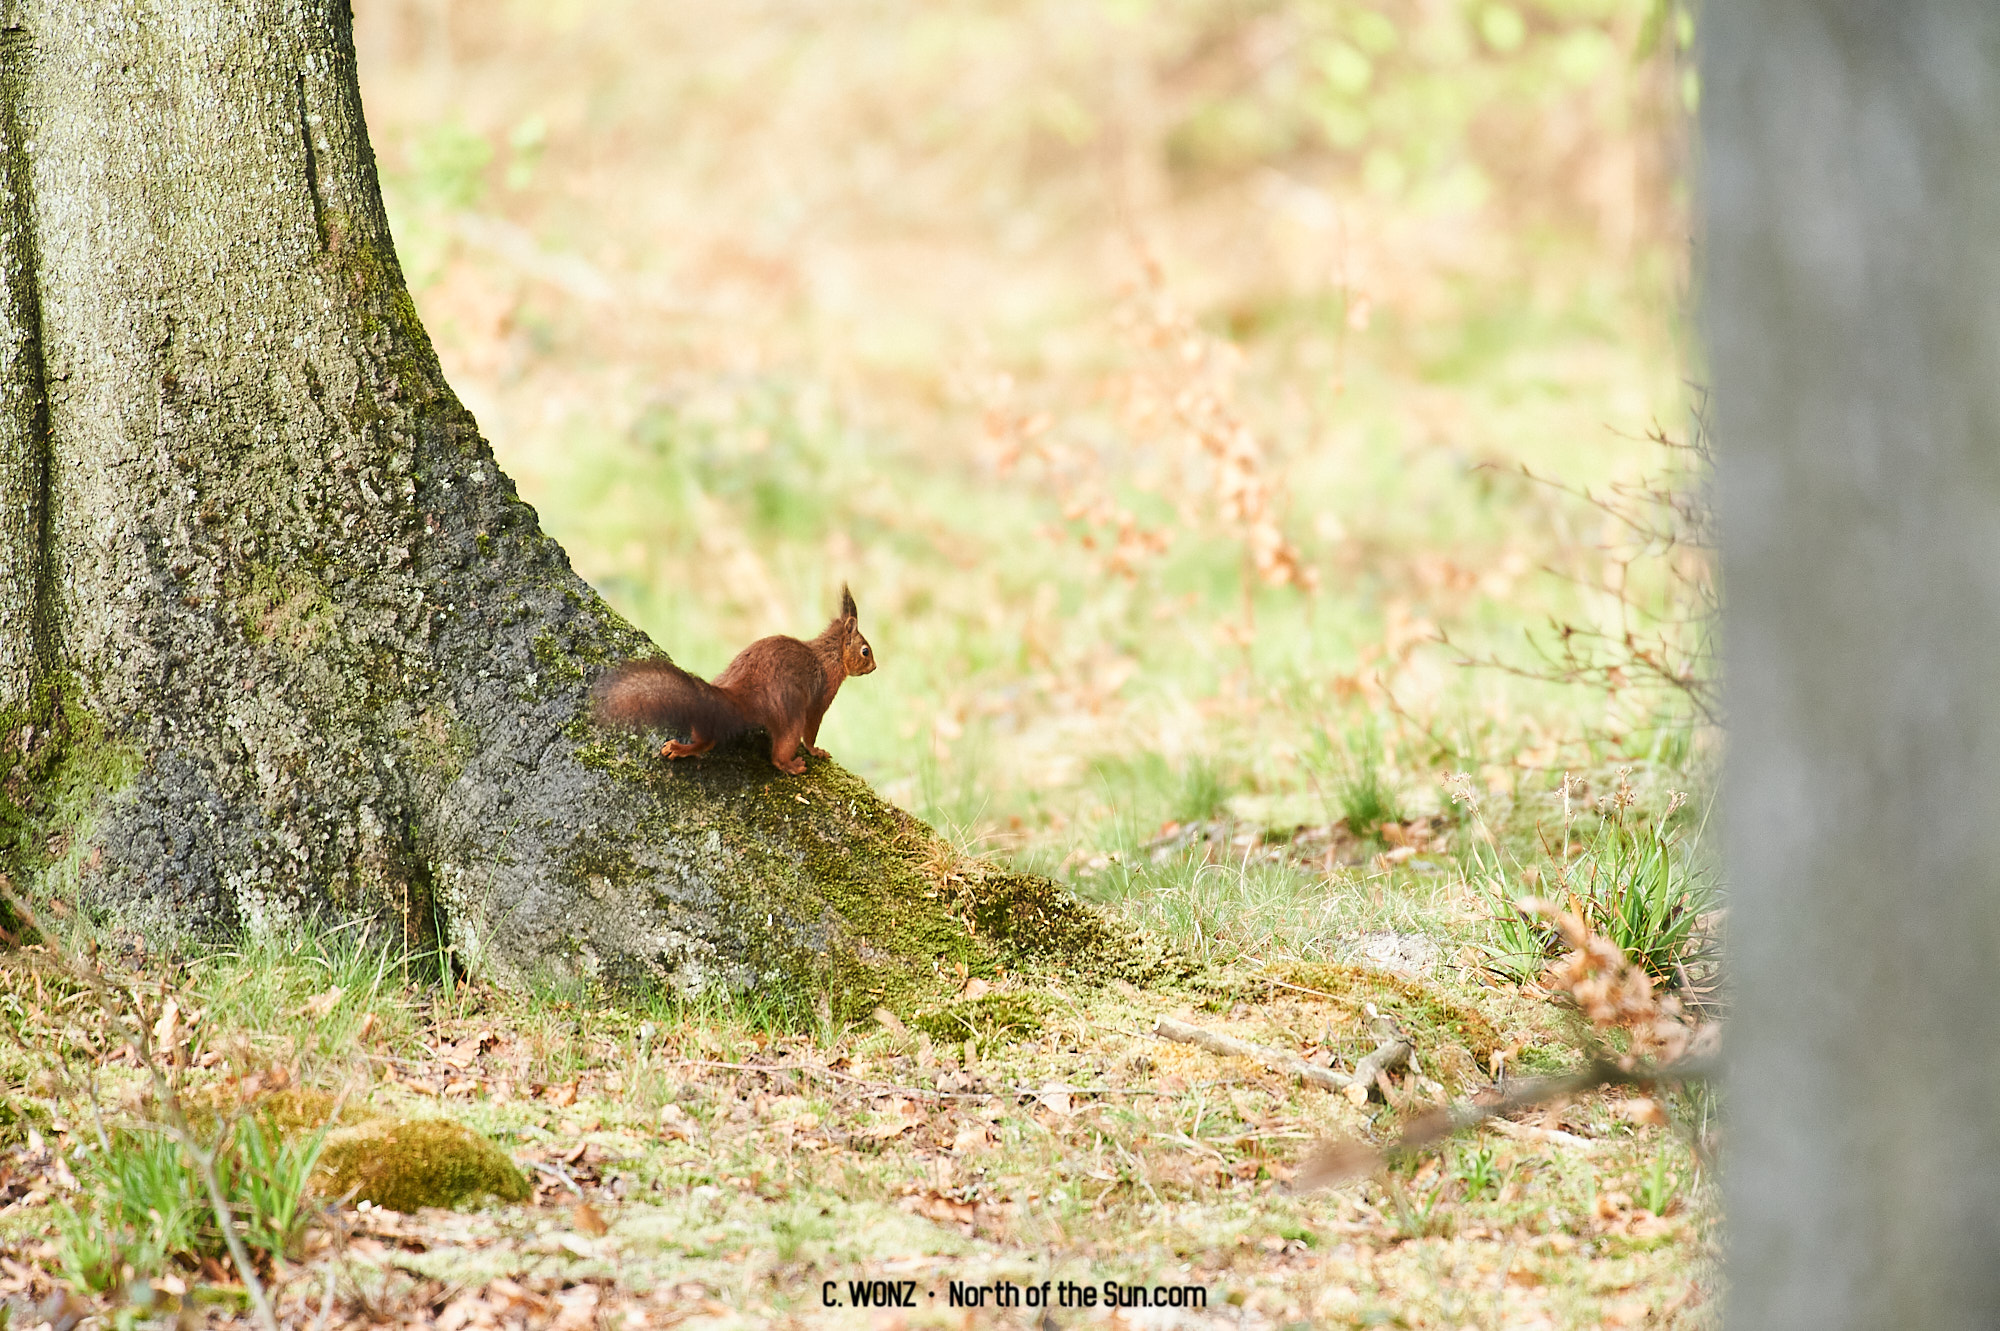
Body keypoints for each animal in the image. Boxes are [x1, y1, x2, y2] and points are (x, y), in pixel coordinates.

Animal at [592, 587, 876, 771]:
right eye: (866, 650)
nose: (874, 666)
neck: (829, 655)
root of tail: (741, 692)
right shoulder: (823, 694)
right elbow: (813, 728)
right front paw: (816, 751)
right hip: (789, 716)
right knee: (779, 754)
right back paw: (792, 765)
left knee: (706, 736)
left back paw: (682, 748)